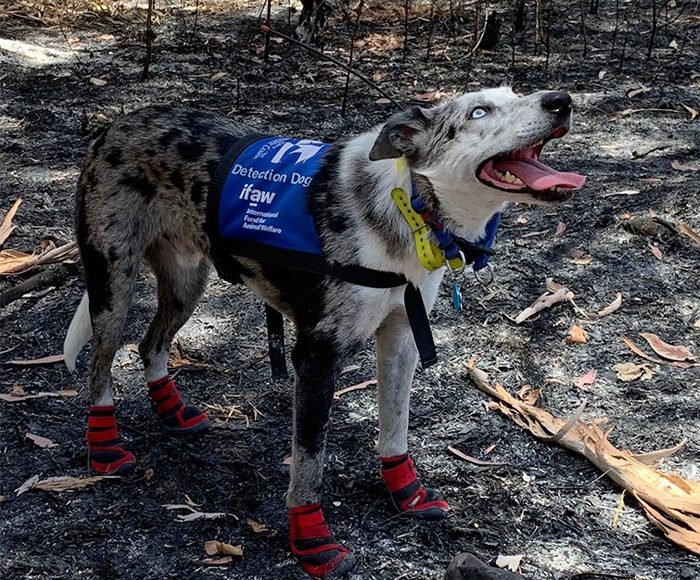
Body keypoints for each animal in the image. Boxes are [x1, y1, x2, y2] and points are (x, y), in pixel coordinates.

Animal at [63, 88, 584, 576]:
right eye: (478, 112)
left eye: (515, 93)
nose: (561, 101)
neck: (409, 206)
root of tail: (117, 123)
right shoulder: (316, 358)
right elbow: (309, 463)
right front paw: (313, 542)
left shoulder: (401, 339)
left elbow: (395, 429)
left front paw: (408, 495)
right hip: (113, 285)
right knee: (100, 366)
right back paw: (104, 447)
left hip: (187, 282)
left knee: (150, 344)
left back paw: (171, 411)